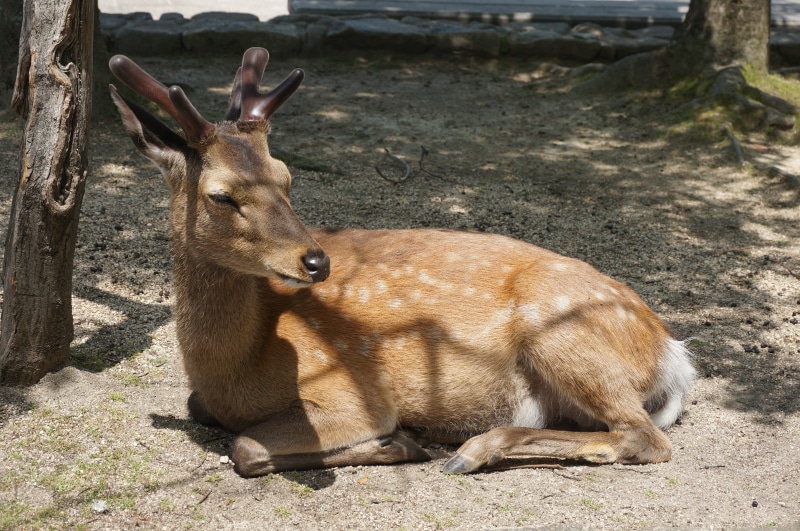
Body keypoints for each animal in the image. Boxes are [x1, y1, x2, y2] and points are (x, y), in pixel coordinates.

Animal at [108, 48, 695, 478]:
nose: (315, 261)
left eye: (286, 176)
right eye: (221, 195)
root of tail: (671, 352)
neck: (231, 370)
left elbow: (247, 447)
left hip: (563, 329)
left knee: (646, 437)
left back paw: (472, 450)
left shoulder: (354, 393)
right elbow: (198, 408)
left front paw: (401, 443)